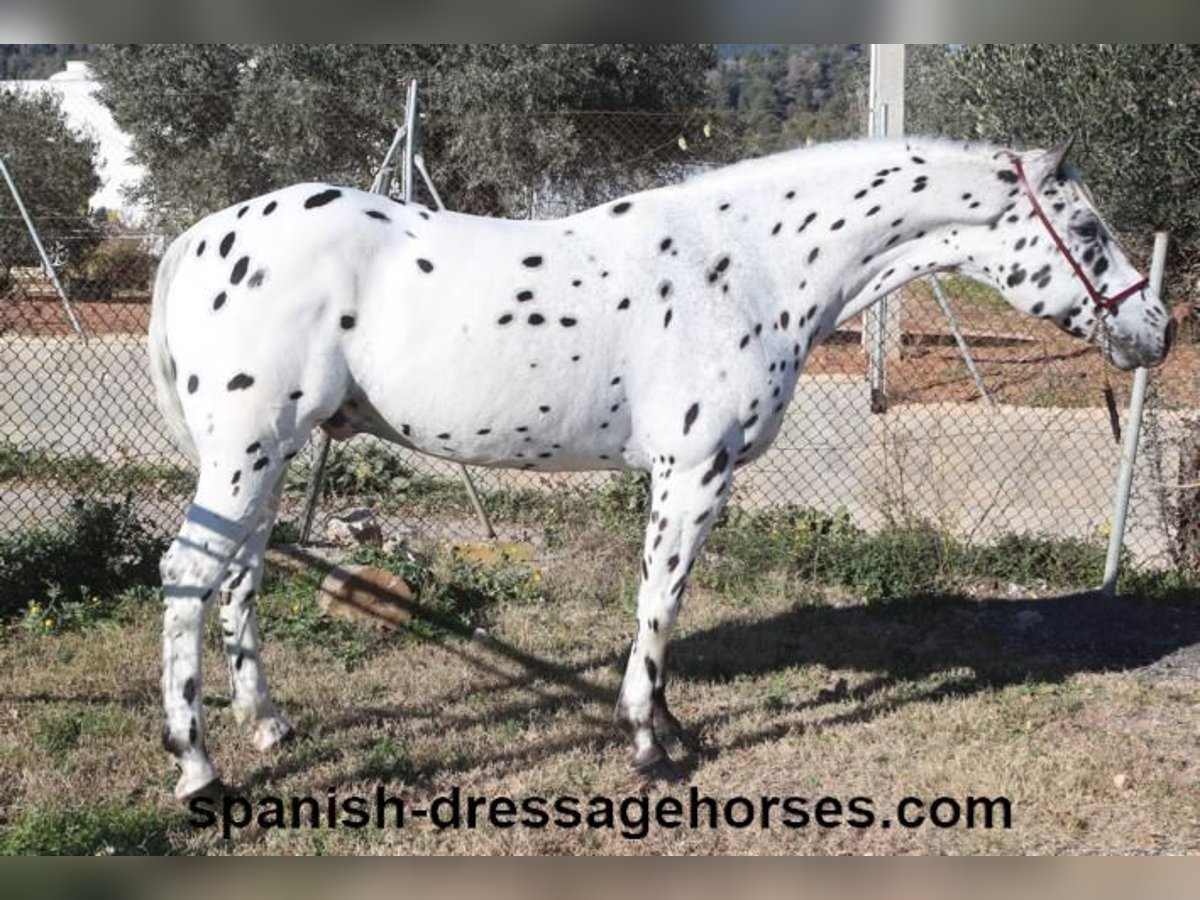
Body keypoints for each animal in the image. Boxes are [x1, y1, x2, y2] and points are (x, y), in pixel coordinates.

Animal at [147, 137, 1171, 801]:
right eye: (1087, 230)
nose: (1156, 329)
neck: (751, 262)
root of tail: (198, 238)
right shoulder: (693, 470)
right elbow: (661, 603)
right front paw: (650, 744)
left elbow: (661, 603)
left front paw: (667, 727)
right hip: (245, 451)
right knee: (189, 576)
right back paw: (199, 772)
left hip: (270, 458)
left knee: (239, 577)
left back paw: (269, 725)